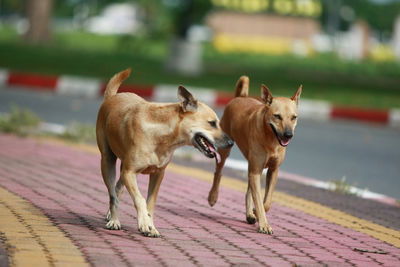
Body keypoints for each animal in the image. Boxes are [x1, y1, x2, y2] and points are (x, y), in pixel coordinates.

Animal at [95, 69, 233, 239]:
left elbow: (150, 203)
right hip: (107, 161)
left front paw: (151, 226)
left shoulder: (157, 174)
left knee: (117, 189)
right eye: (212, 123)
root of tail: (112, 97)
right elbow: (140, 199)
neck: (162, 134)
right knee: (112, 194)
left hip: (124, 169)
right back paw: (114, 220)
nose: (231, 143)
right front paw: (144, 223)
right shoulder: (130, 171)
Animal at [208, 76, 302, 234]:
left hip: (253, 165)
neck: (271, 139)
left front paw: (256, 213)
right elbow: (258, 199)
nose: (288, 135)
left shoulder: (273, 170)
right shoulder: (256, 170)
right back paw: (213, 197)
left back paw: (250, 214)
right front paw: (264, 224)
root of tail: (240, 97)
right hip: (226, 149)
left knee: (249, 190)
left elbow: (266, 201)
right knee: (218, 172)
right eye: (277, 116)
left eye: (293, 117)